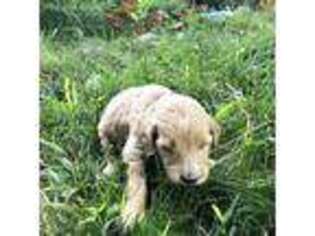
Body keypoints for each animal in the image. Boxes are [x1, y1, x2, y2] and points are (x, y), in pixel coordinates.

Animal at [97, 84, 221, 229]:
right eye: (166, 148)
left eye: (204, 145)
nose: (190, 180)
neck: (156, 102)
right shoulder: (135, 147)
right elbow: (137, 182)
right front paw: (133, 213)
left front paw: (210, 162)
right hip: (106, 127)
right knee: (108, 150)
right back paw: (110, 170)